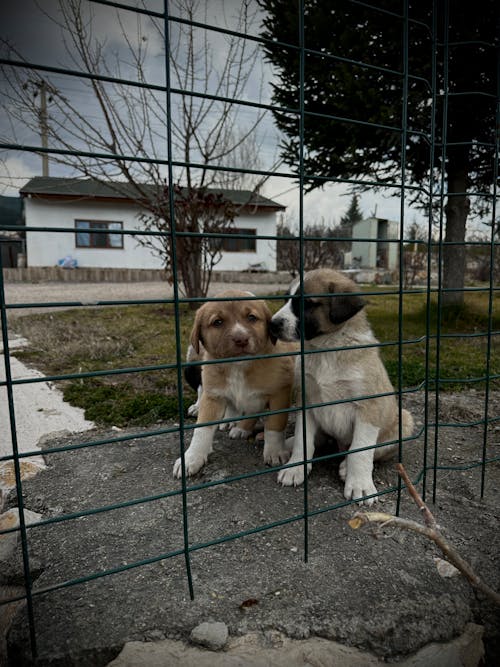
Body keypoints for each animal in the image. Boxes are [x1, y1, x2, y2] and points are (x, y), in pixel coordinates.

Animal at [174, 290, 294, 478]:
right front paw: (191, 457)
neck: (238, 366)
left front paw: (275, 452)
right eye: (218, 322)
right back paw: (240, 427)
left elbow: (275, 424)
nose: (241, 339)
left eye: (252, 317)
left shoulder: (280, 392)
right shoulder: (213, 395)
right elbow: (201, 430)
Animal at [270, 268, 414, 506]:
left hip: (405, 420)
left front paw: (360, 485)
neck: (327, 349)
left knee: (375, 450)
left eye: (306, 304)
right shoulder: (306, 400)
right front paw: (295, 468)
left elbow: (361, 450)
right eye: (286, 299)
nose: (271, 324)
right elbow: (303, 439)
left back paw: (347, 467)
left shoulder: (368, 407)